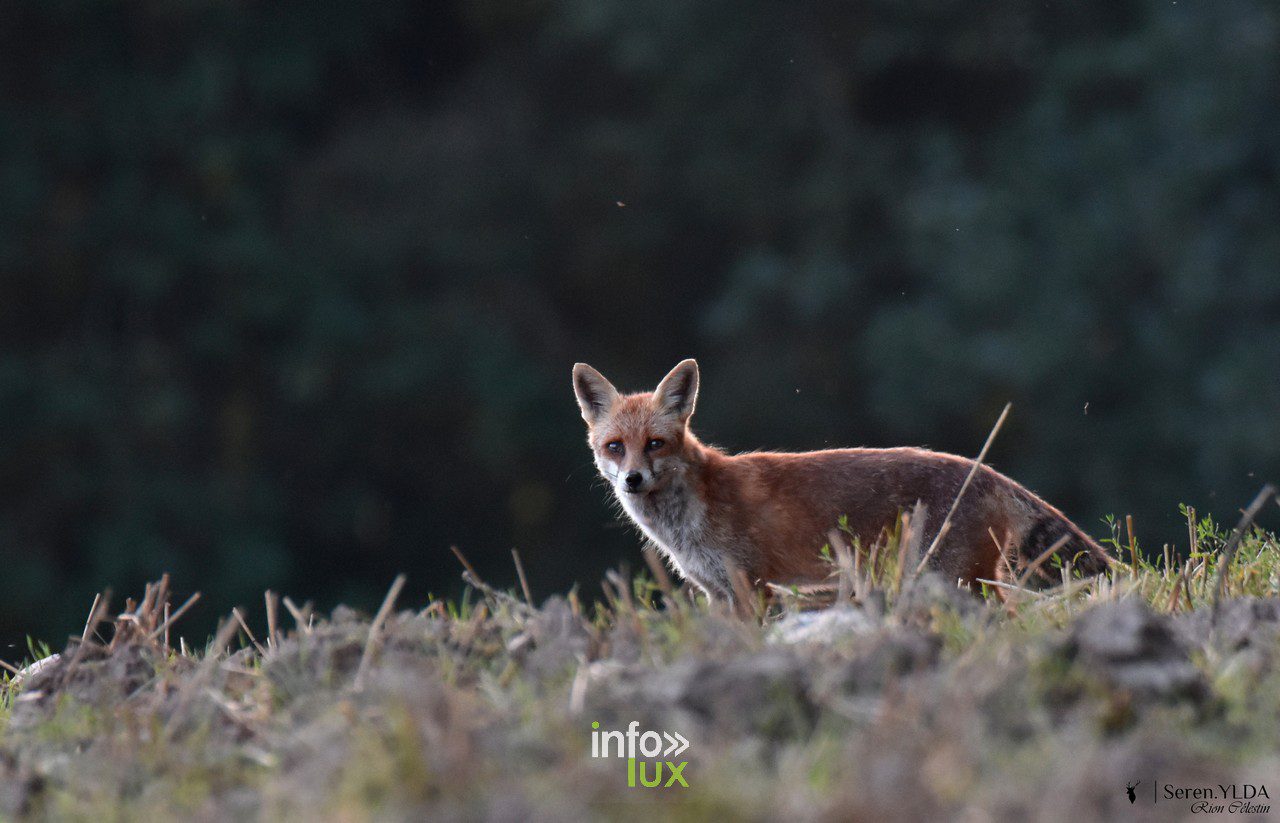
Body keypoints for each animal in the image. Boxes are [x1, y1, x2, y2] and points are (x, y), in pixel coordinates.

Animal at [576, 358, 1116, 601]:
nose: (632, 480)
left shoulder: (754, 588)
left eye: (655, 444)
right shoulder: (718, 594)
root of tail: (983, 469)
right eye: (615, 447)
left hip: (951, 582)